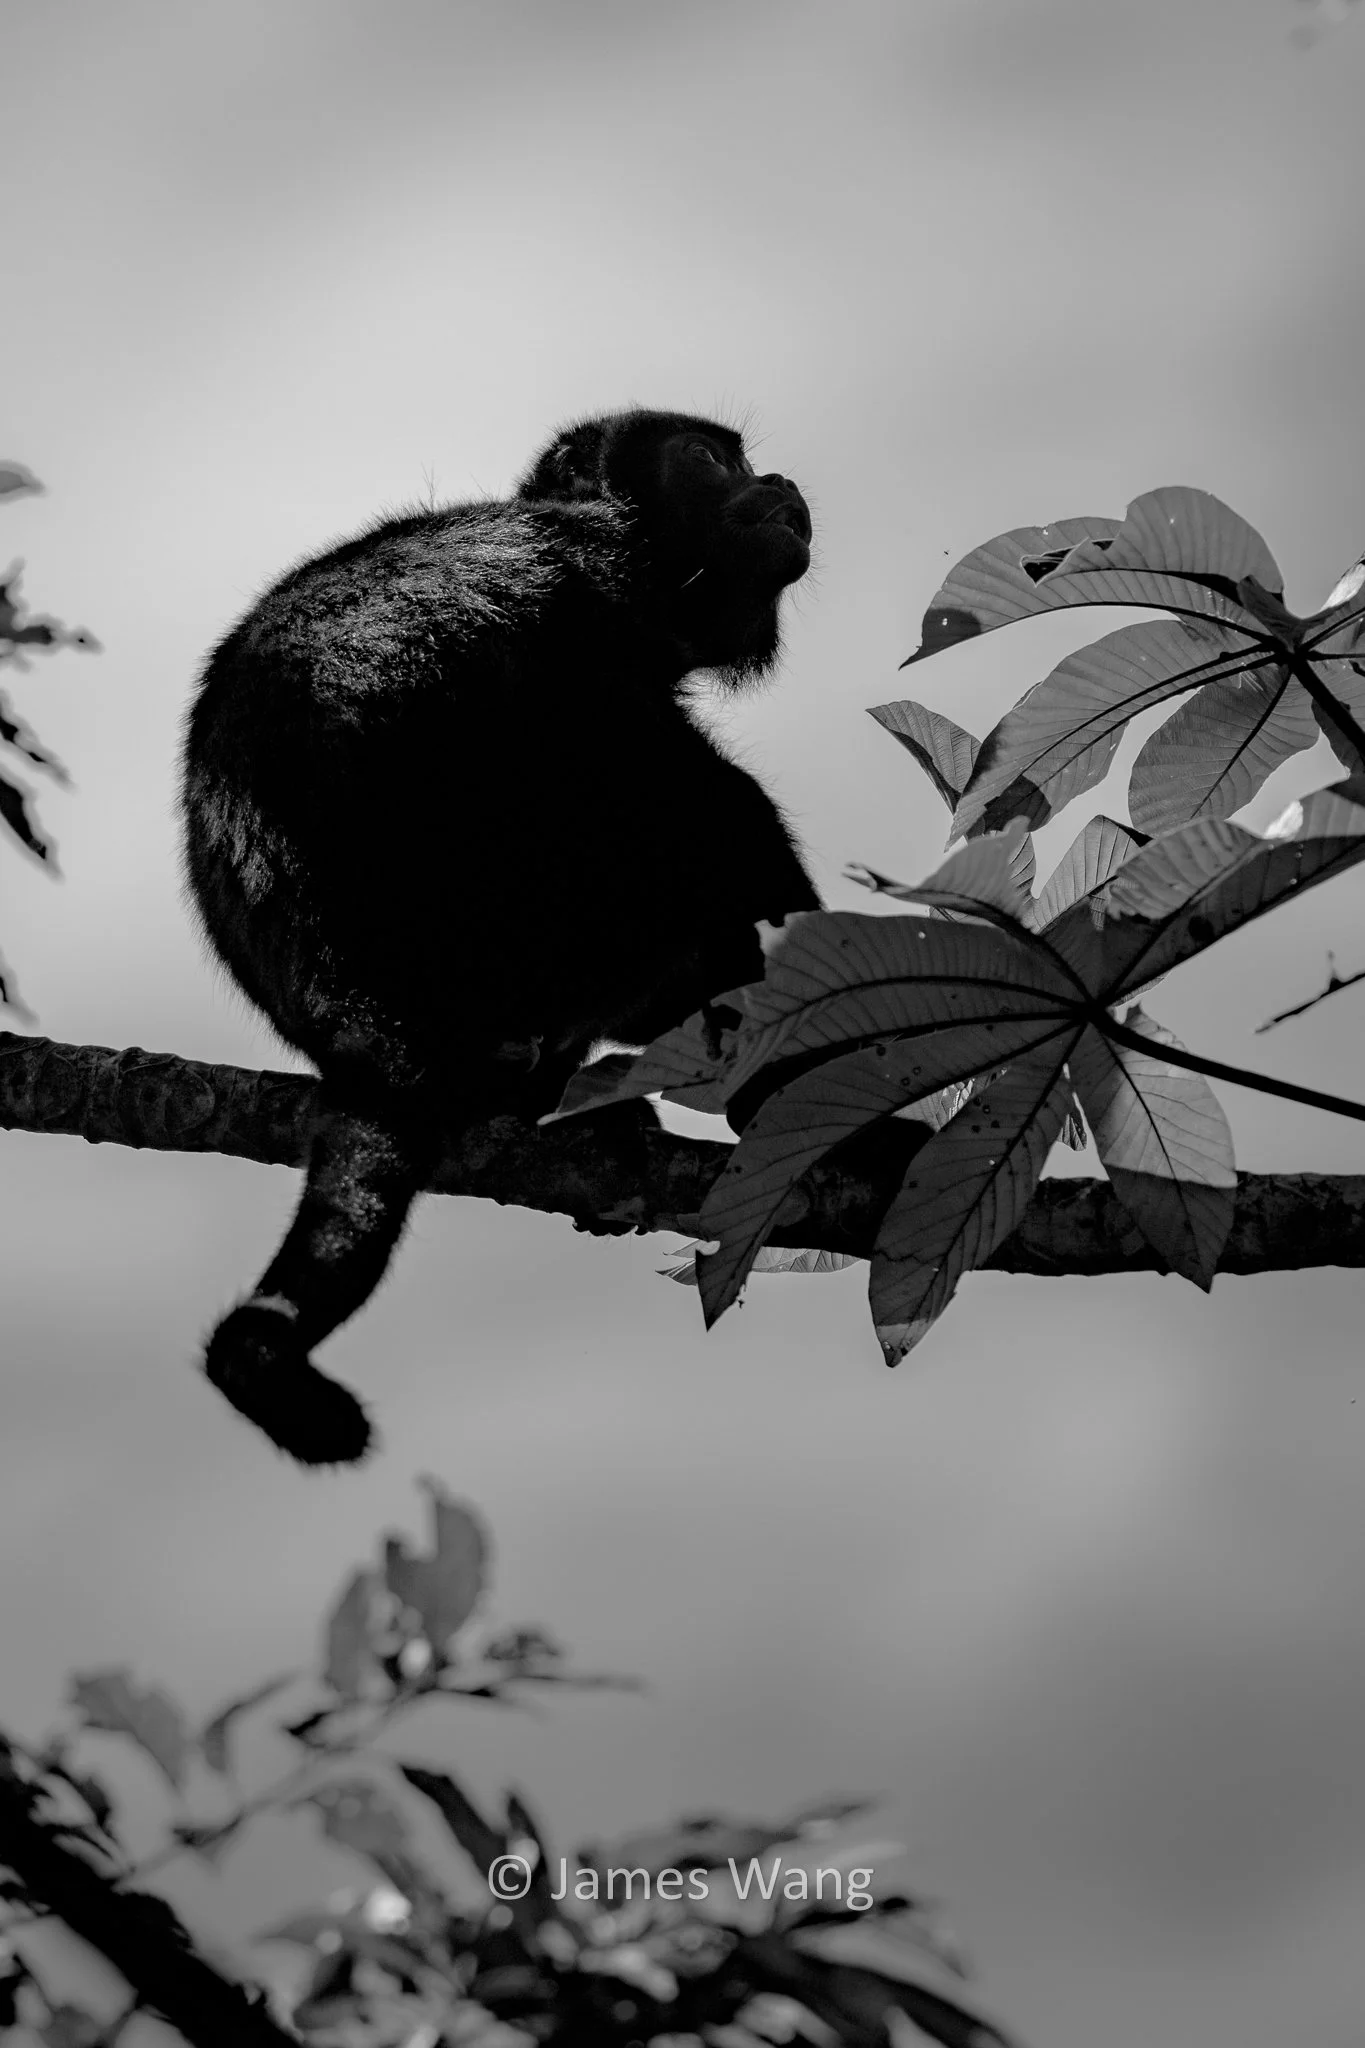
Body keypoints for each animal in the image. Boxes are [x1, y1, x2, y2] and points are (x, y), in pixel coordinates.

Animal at [181, 408, 819, 1467]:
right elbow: (701, 806)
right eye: (706, 459)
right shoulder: (589, 580)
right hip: (549, 920)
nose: (776, 480)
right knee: (705, 813)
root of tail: (361, 1014)